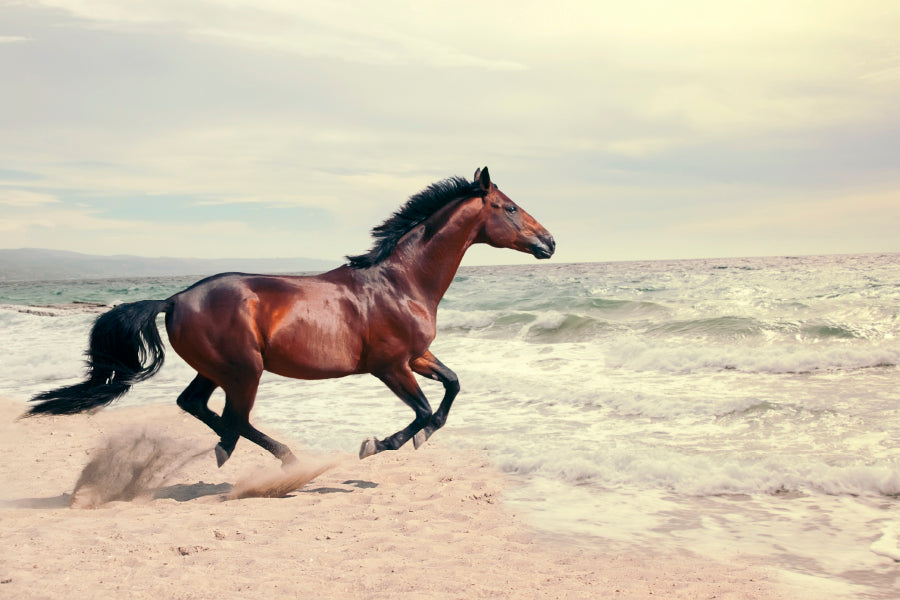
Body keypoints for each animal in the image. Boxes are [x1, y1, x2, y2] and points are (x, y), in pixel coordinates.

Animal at [25, 167, 556, 466]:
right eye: (510, 207)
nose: (549, 242)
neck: (401, 282)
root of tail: (175, 299)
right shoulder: (390, 366)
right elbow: (424, 409)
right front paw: (378, 445)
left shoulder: (417, 356)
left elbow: (452, 387)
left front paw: (418, 438)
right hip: (244, 370)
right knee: (232, 417)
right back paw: (264, 456)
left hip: (217, 369)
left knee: (199, 406)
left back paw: (253, 452)